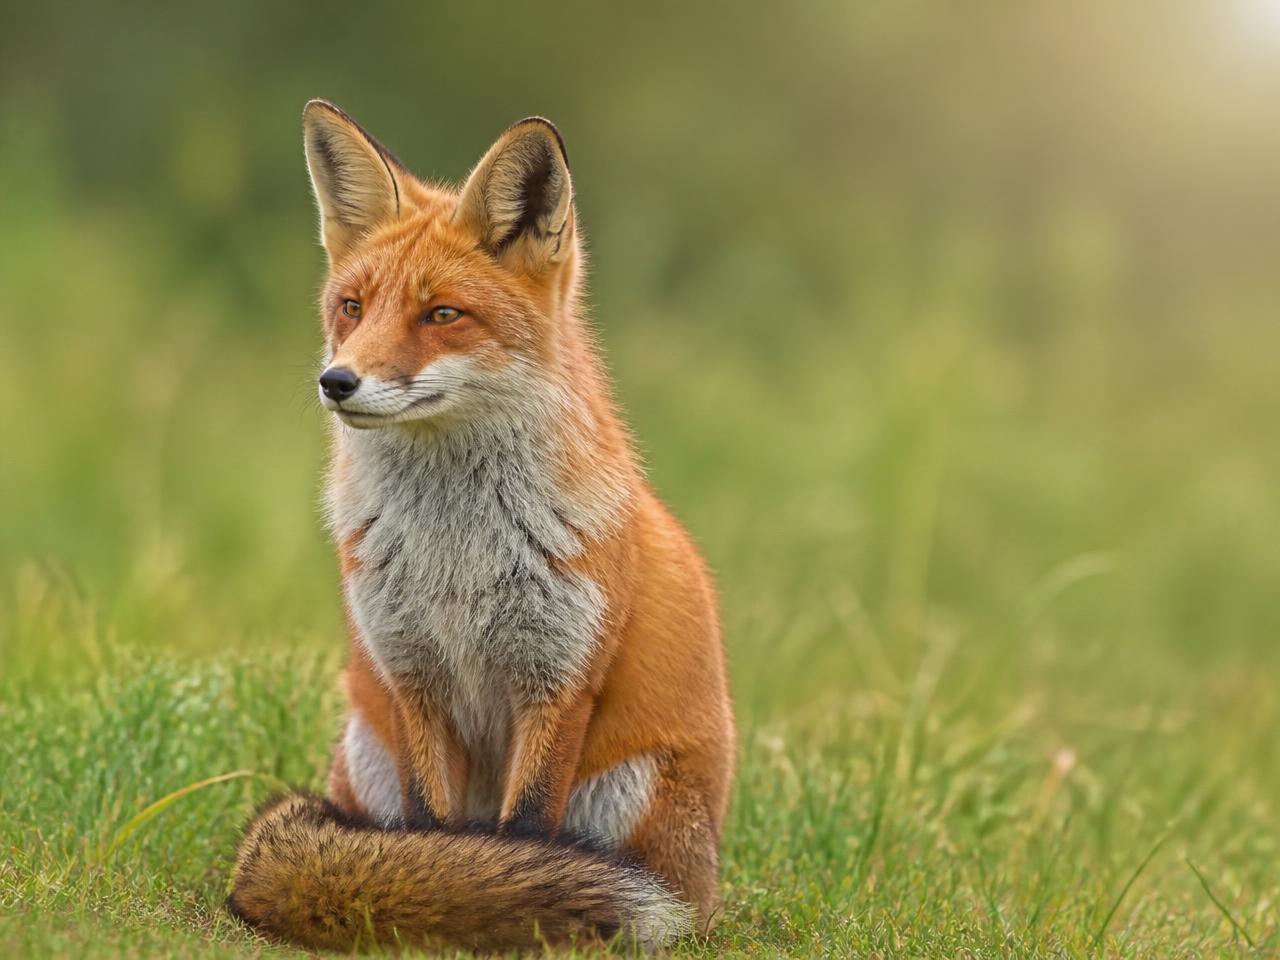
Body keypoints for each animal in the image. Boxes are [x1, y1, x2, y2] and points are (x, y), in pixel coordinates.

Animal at [226, 100, 734, 951]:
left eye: (442, 315)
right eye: (352, 307)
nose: (337, 381)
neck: (456, 553)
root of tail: (709, 881)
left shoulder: (557, 680)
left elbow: (524, 834)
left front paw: (512, 906)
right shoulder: (414, 676)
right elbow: (435, 836)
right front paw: (448, 894)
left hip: (631, 789)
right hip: (366, 749)